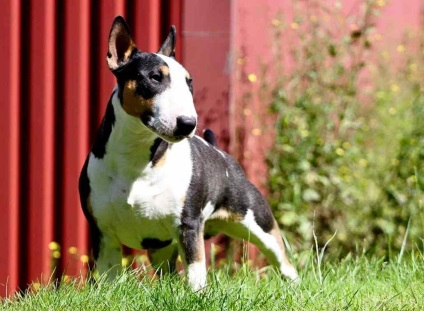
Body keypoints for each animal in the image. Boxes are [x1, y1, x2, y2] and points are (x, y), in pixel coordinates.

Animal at [79, 15, 298, 292]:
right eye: (154, 77)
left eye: (189, 81)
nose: (188, 123)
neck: (137, 157)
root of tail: (222, 154)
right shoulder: (104, 234)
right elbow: (110, 277)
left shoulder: (188, 226)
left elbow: (195, 270)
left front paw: (197, 295)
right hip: (160, 249)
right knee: (167, 271)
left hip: (259, 223)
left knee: (283, 261)